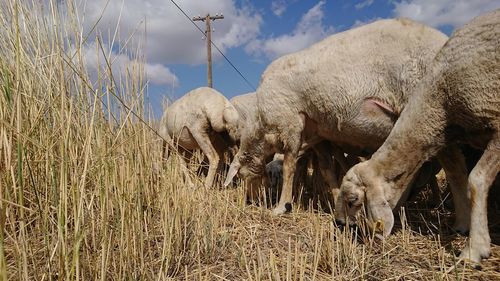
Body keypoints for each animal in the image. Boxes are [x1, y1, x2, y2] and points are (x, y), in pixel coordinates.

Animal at [225, 18, 448, 214]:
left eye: (242, 175)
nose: (251, 199)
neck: (261, 127)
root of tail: (441, 37)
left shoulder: (290, 122)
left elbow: (289, 167)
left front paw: (282, 207)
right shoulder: (318, 134)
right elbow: (328, 171)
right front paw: (335, 199)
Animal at [336, 9, 500, 264]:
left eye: (353, 200)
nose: (339, 224)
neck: (443, 96)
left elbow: (476, 181)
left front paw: (475, 249)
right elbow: (458, 177)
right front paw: (462, 226)